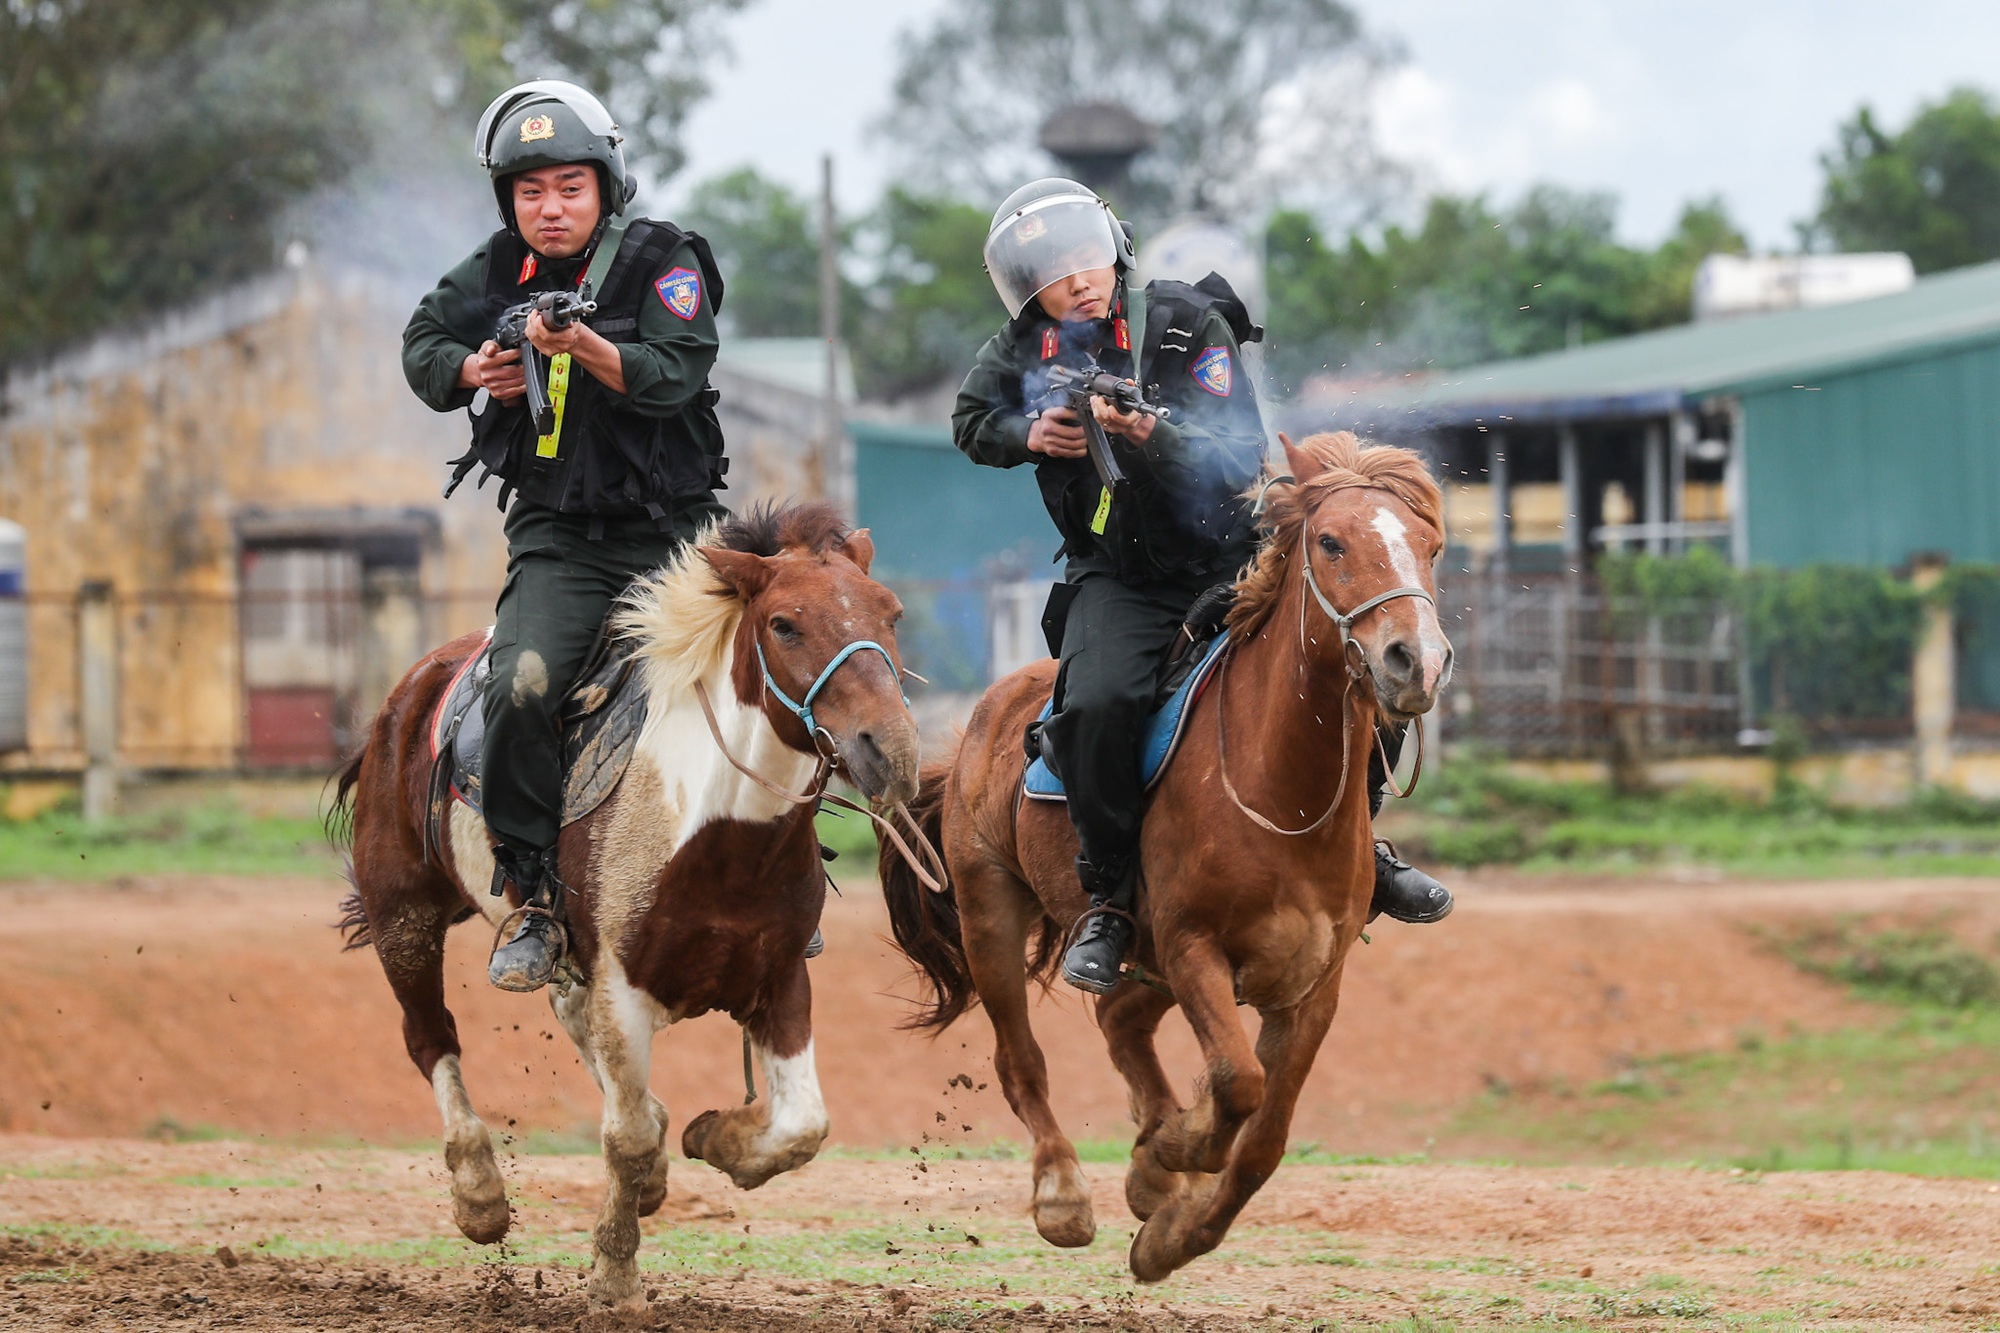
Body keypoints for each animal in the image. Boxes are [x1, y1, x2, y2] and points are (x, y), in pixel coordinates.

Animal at [330, 504, 920, 1304]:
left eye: (890, 613)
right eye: (785, 624)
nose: (889, 751)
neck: (718, 833)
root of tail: (411, 692)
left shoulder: (780, 978)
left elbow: (801, 1123)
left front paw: (713, 1137)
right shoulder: (621, 983)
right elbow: (628, 1136)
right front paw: (614, 1273)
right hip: (405, 918)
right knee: (432, 1039)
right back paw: (480, 1196)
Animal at [884, 434, 1448, 1280]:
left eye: (1430, 546)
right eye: (1330, 542)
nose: (1414, 659)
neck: (1280, 792)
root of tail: (984, 717)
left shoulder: (1311, 983)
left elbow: (1263, 1140)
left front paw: (1170, 1224)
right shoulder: (1193, 948)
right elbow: (1238, 1085)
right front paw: (1177, 1147)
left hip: (1144, 962)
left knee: (1119, 1018)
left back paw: (1150, 1168)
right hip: (994, 912)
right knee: (1021, 1060)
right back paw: (1065, 1193)